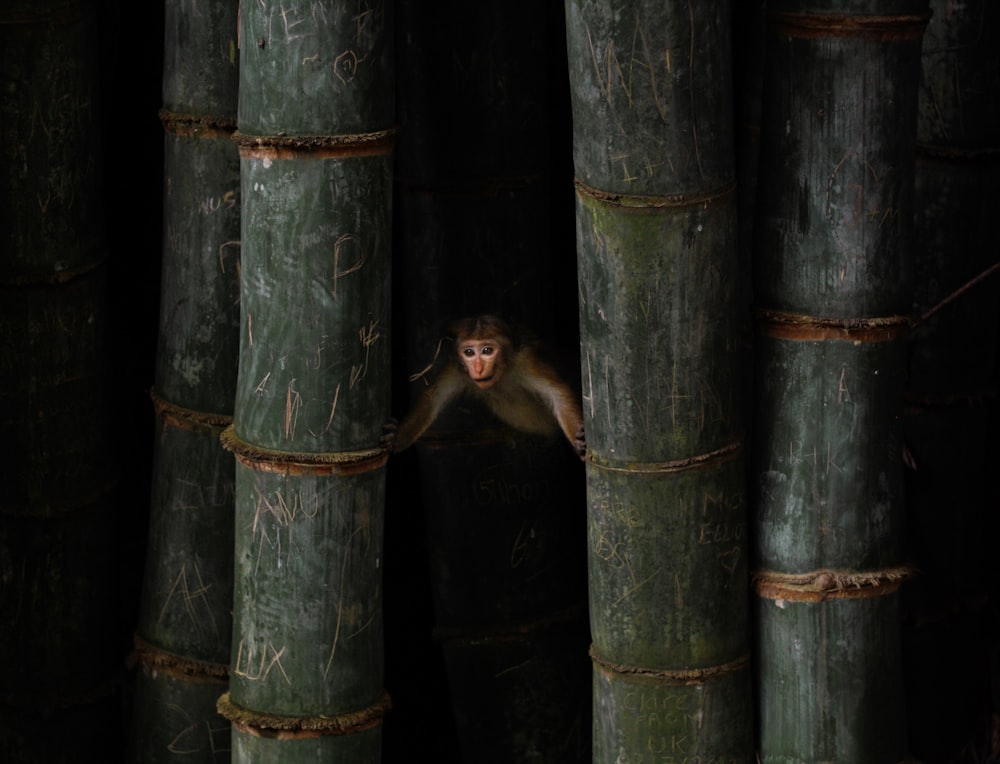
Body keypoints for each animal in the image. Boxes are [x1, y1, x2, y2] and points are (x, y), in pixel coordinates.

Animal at [382, 316, 584, 460]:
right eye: (469, 352)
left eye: (487, 350)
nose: (478, 368)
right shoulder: (457, 368)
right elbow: (433, 397)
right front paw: (399, 436)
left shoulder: (526, 360)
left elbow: (557, 394)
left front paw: (579, 439)